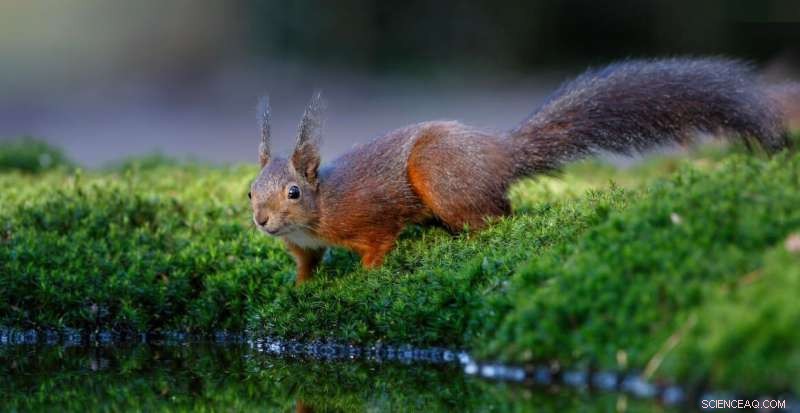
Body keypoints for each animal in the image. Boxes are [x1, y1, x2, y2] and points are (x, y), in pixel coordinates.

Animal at [249, 57, 797, 285]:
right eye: (250, 192)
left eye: (294, 192)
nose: (261, 221)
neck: (320, 210)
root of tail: (500, 154)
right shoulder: (303, 245)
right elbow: (306, 263)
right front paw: (300, 286)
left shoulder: (370, 215)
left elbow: (379, 242)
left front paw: (366, 276)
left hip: (440, 176)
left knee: (498, 216)